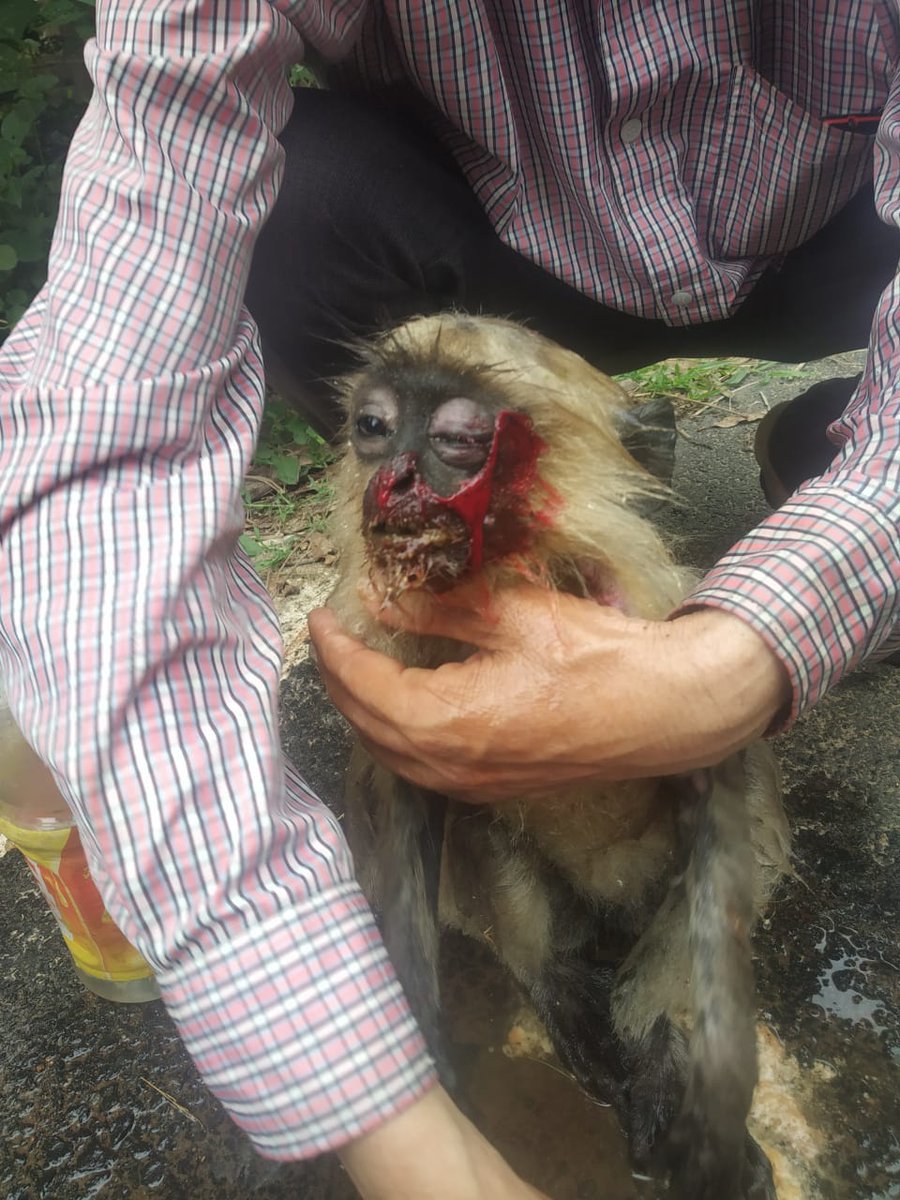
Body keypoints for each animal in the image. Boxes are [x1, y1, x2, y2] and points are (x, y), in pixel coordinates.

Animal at [324, 313, 791, 1200]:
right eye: (374, 426)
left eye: (460, 441)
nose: (394, 480)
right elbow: (405, 803)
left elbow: (727, 808)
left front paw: (700, 1104)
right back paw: (563, 992)